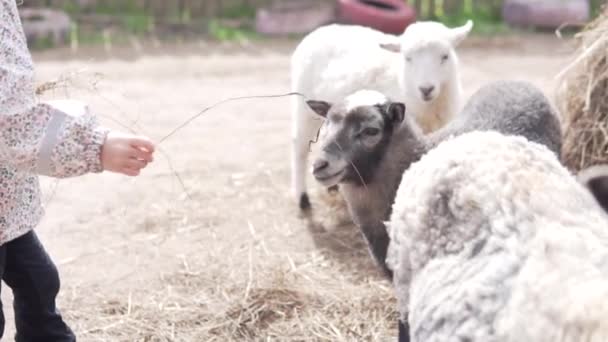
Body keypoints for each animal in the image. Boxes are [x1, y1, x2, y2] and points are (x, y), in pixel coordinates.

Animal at [288, 20, 470, 210]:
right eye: (407, 58)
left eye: (445, 56)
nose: (426, 89)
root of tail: (321, 29)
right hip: (303, 108)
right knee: (299, 145)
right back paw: (302, 198)